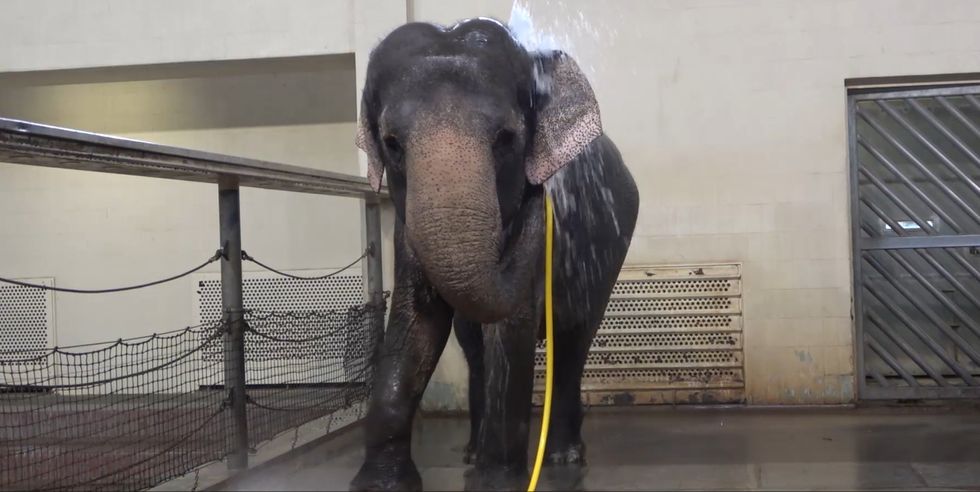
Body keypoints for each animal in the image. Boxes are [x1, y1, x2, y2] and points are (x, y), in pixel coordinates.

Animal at [351, 17, 639, 491]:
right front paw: (381, 483)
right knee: (474, 347)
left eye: (507, 139)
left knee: (573, 339)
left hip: (609, 249)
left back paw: (563, 456)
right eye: (391, 143)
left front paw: (497, 482)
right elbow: (418, 323)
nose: (537, 194)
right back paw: (472, 451)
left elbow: (510, 325)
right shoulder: (407, 227)